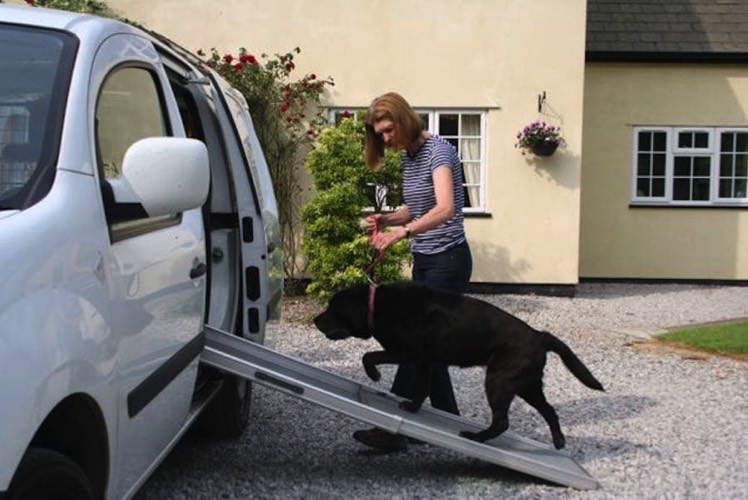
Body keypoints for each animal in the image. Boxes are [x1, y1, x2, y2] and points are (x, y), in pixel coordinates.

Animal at [312, 282, 604, 450]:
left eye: (333, 308)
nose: (315, 320)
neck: (377, 305)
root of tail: (539, 335)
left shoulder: (407, 353)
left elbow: (369, 356)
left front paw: (374, 375)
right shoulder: (426, 362)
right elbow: (421, 390)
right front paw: (412, 408)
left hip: (499, 381)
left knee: (502, 421)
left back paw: (476, 437)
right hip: (527, 386)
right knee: (550, 410)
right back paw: (558, 441)